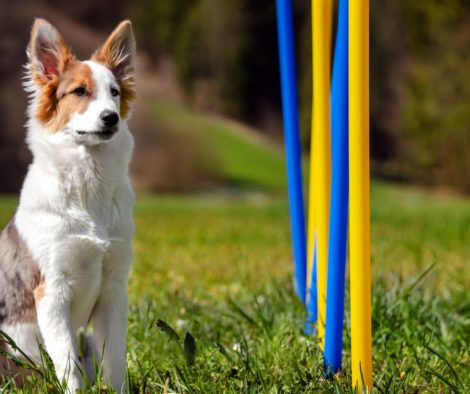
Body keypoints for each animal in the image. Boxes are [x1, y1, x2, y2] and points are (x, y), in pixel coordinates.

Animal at [0, 17, 138, 390]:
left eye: (114, 93)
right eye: (79, 92)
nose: (111, 118)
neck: (88, 183)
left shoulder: (114, 289)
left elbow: (115, 361)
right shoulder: (51, 292)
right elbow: (66, 366)